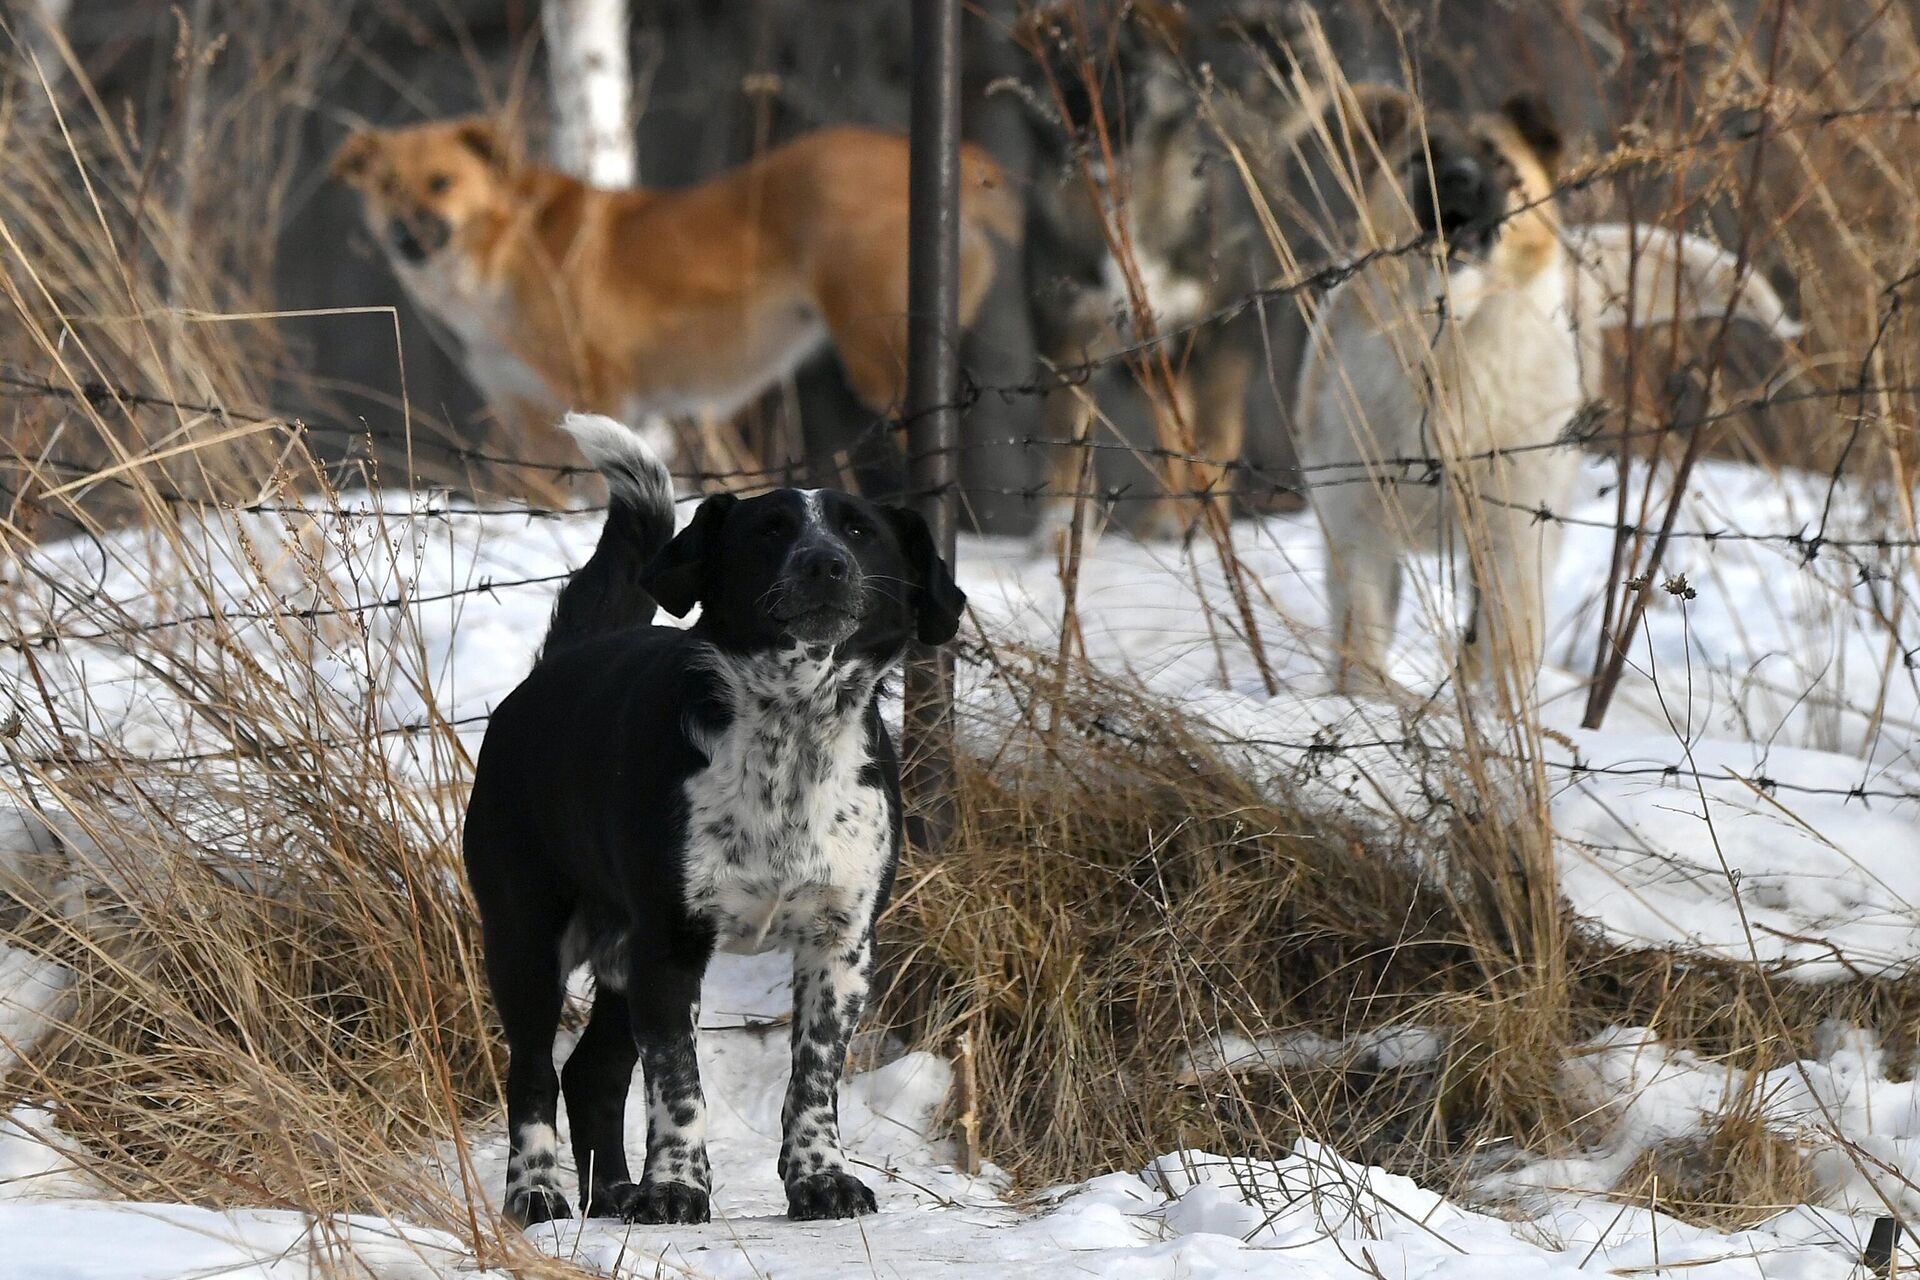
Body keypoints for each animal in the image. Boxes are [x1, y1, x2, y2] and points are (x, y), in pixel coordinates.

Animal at [334, 121, 1021, 485]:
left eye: (442, 182)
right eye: (387, 186)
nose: (405, 236)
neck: (504, 250)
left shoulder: (597, 391)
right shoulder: (523, 412)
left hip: (876, 352)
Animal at [462, 416, 967, 1228]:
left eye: (859, 531)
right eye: (770, 530)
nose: (825, 564)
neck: (793, 732)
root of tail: (553, 668)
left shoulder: (841, 946)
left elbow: (813, 1080)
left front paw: (821, 1180)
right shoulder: (672, 946)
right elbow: (679, 1086)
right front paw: (675, 1189)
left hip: (618, 956)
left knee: (592, 1072)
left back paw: (613, 1194)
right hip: (527, 939)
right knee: (533, 1073)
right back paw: (536, 1194)